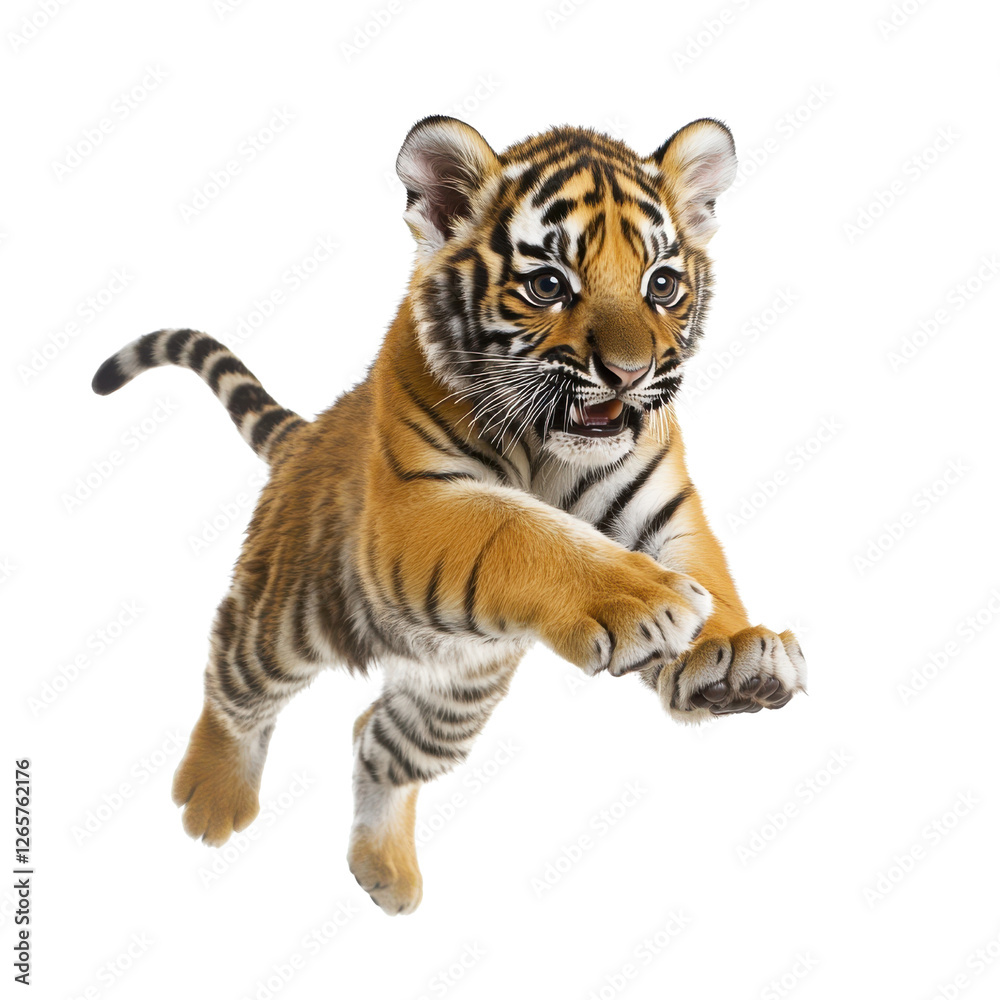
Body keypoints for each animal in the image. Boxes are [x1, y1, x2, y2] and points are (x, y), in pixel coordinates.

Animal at [92, 115, 807, 916]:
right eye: (548, 284)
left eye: (663, 284)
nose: (630, 374)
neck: (549, 447)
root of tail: (306, 436)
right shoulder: (419, 505)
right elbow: (521, 528)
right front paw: (645, 599)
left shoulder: (657, 503)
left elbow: (703, 568)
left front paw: (738, 654)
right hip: (284, 621)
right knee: (232, 684)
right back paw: (211, 799)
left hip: (455, 692)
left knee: (379, 739)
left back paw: (386, 871)